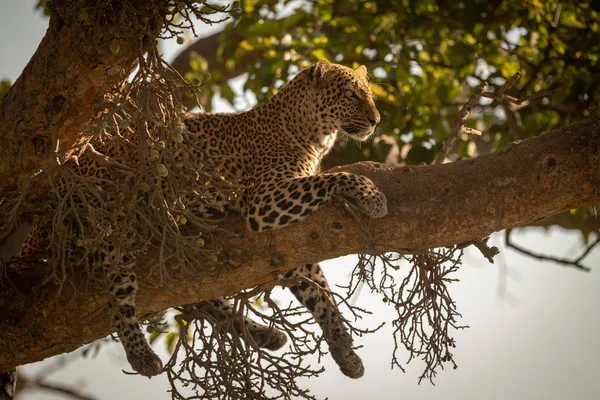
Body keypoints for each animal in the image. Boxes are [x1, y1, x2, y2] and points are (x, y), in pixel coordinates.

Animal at [7, 57, 386, 386]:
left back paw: (265, 334)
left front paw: (344, 350)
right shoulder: (265, 201)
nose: (376, 121)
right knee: (120, 297)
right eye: (352, 95)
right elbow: (335, 177)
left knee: (203, 298)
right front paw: (373, 196)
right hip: (112, 222)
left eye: (367, 94)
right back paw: (142, 356)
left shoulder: (294, 239)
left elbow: (321, 292)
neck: (315, 135)